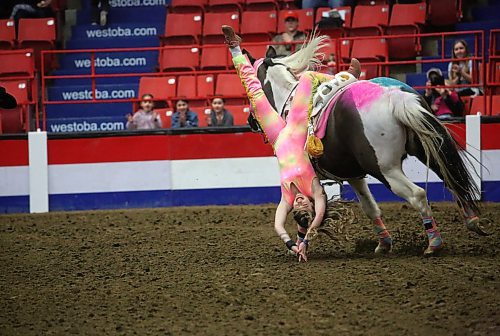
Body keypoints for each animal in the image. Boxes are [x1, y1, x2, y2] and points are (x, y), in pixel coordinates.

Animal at [242, 35, 488, 256]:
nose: (251, 121)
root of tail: (395, 98)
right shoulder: (354, 175)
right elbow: (369, 207)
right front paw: (384, 244)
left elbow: (307, 213)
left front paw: (300, 245)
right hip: (427, 147)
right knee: (452, 178)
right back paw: (473, 221)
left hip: (385, 169)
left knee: (418, 194)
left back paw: (433, 244)